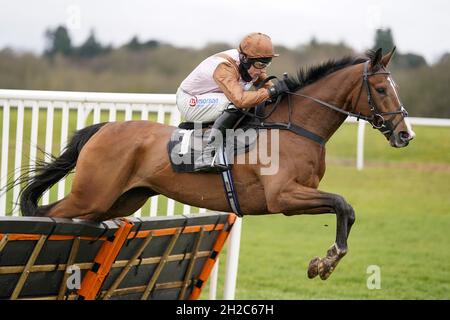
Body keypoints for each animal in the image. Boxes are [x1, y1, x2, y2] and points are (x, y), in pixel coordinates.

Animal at [13, 47, 414, 280]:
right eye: (381, 89)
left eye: (394, 88)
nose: (405, 134)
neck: (295, 126)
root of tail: (105, 127)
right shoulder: (283, 198)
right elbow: (342, 204)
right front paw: (326, 261)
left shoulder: (300, 194)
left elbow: (346, 209)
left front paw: (324, 262)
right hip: (92, 194)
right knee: (49, 213)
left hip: (120, 200)